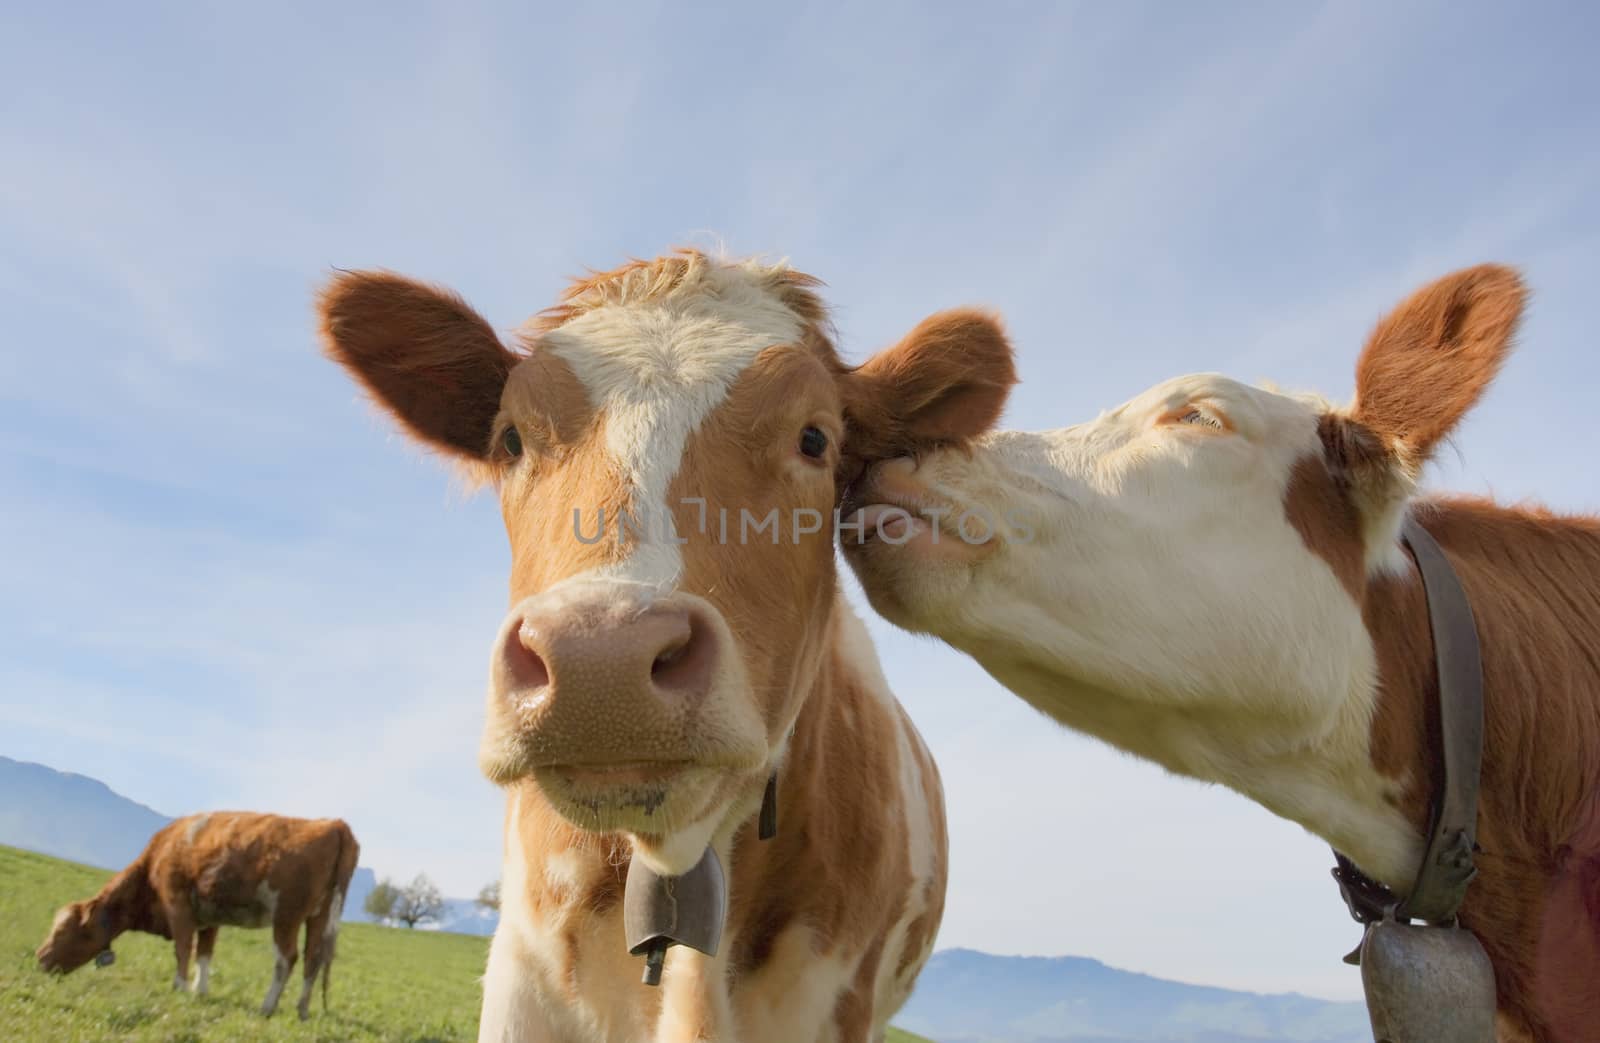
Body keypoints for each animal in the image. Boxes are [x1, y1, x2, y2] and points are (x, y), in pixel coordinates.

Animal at [35, 809, 363, 1023]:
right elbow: (204, 953)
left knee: (287, 959)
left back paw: (268, 1006)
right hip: (319, 916)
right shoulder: (210, 915)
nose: (40, 957)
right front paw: (200, 991)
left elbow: (183, 948)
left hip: (286, 915)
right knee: (312, 959)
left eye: (63, 931)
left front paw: (179, 987)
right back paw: (302, 1009)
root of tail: (334, 825)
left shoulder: (177, 903)